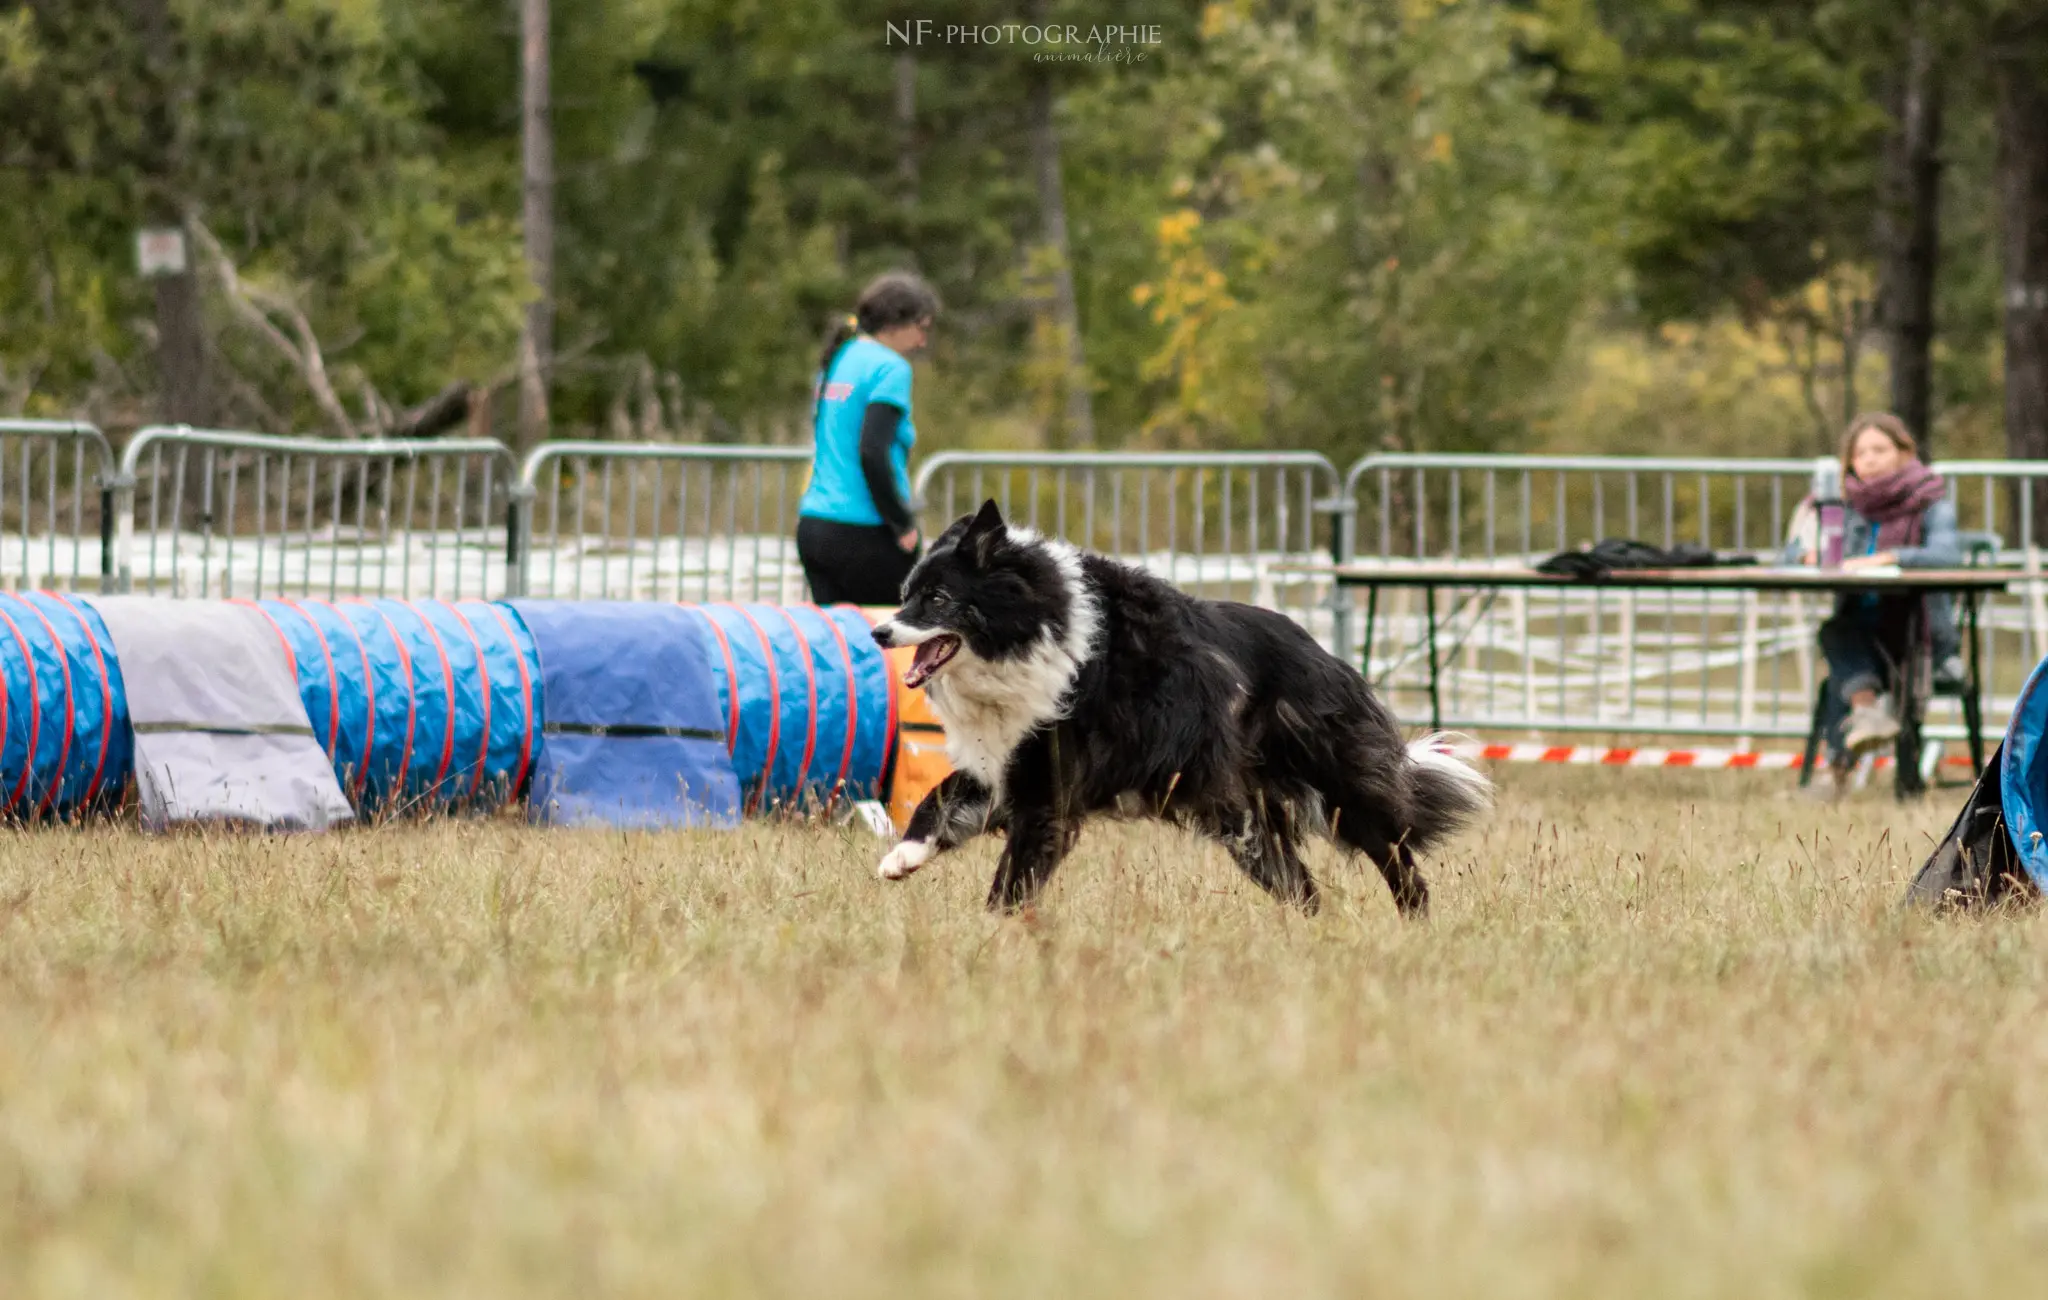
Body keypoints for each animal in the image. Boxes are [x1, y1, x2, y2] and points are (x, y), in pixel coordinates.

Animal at [864, 497, 1490, 917]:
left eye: (937, 599)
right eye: (905, 595)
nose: (877, 632)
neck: (1034, 629)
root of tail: (1320, 650)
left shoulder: (1048, 788)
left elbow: (1013, 877)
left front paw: (996, 929)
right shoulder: (1003, 760)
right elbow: (936, 798)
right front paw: (902, 858)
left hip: (1337, 786)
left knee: (1395, 855)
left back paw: (1414, 924)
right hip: (1243, 818)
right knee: (1300, 885)